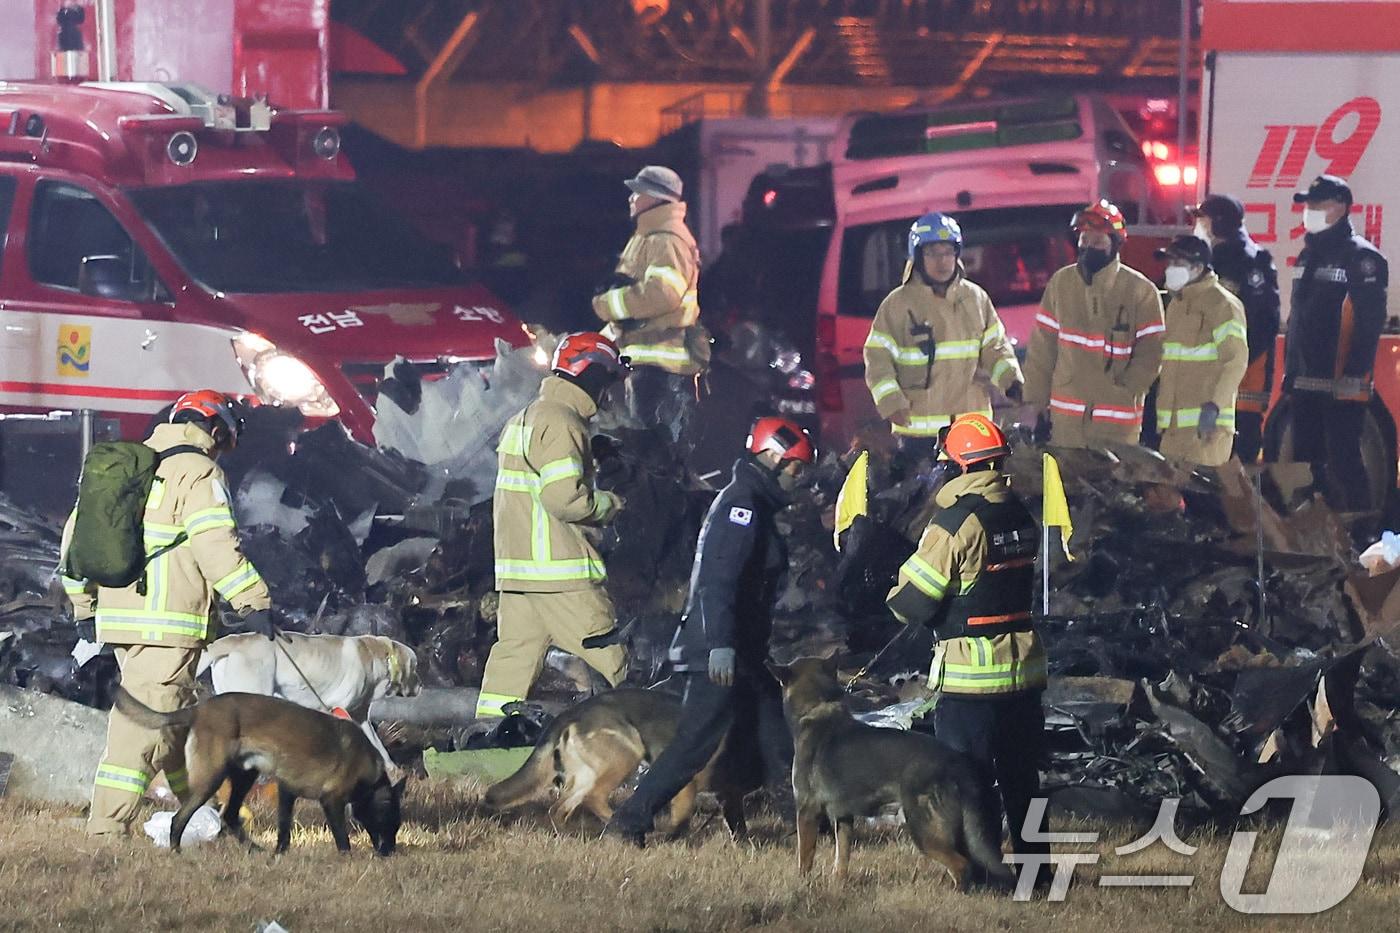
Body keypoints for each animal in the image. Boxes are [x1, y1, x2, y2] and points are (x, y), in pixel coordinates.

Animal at [484, 686, 750, 829]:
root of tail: (571, 712)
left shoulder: (729, 793)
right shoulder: (689, 785)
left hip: (586, 775)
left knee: (559, 808)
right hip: (625, 758)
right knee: (594, 798)